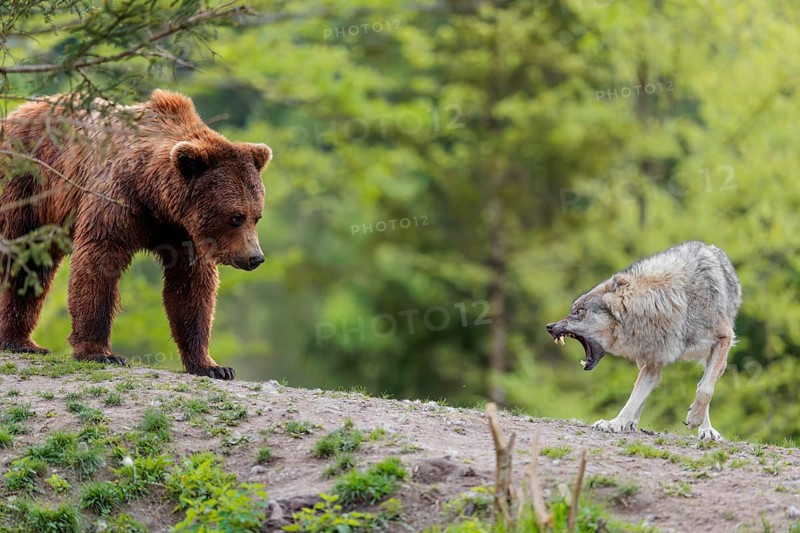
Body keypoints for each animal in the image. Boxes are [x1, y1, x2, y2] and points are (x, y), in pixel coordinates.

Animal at [0, 89, 272, 379]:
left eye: (257, 216)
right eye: (235, 217)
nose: (255, 257)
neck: (155, 196)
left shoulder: (184, 232)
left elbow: (191, 286)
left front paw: (212, 365)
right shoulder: (117, 200)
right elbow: (99, 262)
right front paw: (101, 353)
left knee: (30, 267)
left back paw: (20, 341)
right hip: (24, 183)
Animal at [545, 241, 741, 441]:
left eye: (578, 311)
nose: (549, 326)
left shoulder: (724, 337)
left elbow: (705, 389)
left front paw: (695, 419)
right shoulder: (653, 362)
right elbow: (634, 398)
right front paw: (615, 423)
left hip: (719, 361)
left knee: (705, 384)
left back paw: (705, 428)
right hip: (645, 360)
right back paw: (631, 422)